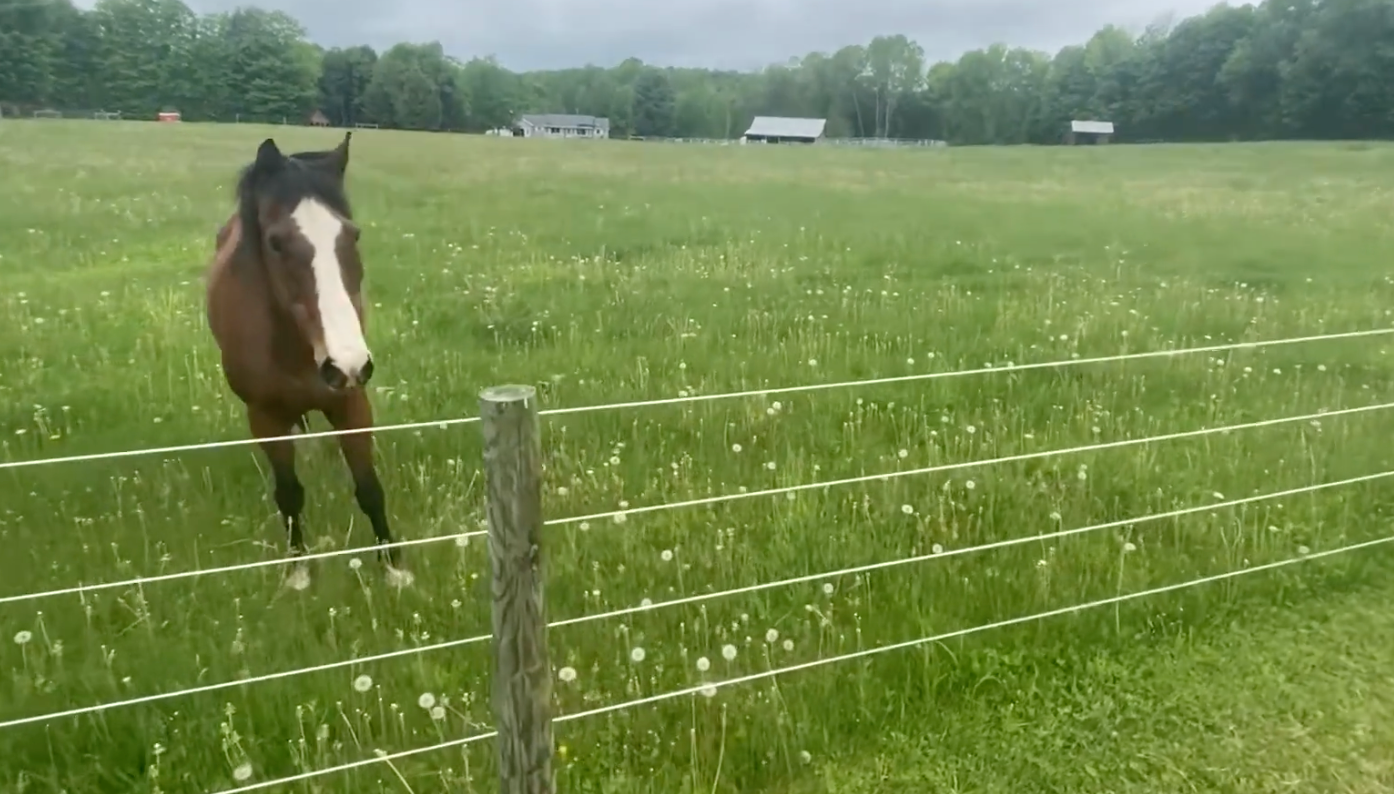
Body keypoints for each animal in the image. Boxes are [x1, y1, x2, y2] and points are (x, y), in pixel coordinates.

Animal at [206, 132, 412, 591]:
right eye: (276, 242)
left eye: (352, 235)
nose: (347, 364)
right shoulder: (264, 417)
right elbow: (288, 494)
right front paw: (298, 572)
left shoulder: (352, 403)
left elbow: (369, 487)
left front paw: (394, 569)